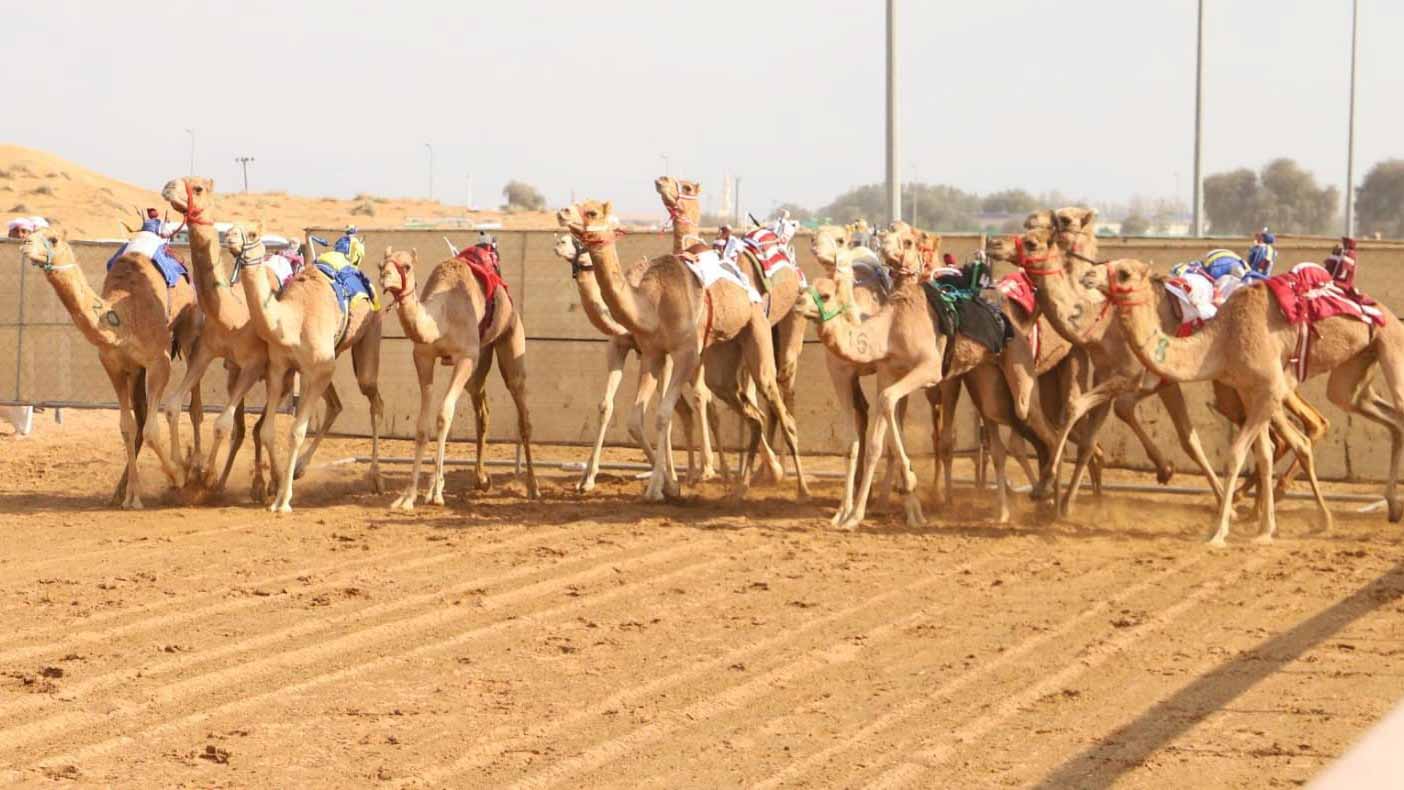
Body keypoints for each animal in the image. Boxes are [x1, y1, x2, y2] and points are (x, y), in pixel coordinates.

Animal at [18, 224, 200, 507]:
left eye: (53, 239)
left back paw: (199, 472)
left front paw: (178, 476)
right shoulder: (115, 366)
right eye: (32, 233)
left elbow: (152, 429)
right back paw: (123, 490)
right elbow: (127, 427)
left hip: (189, 329)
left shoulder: (159, 361)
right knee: (142, 417)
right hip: (137, 371)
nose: (25, 244)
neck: (122, 317)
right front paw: (132, 498)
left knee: (194, 404)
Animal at [226, 223, 390, 516]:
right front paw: (278, 486)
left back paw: (376, 477)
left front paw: (283, 501)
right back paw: (300, 469)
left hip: (369, 333)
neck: (291, 320)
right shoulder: (280, 368)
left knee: (374, 399)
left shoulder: (317, 370)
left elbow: (297, 431)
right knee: (336, 405)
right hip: (326, 360)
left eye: (253, 233)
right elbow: (267, 429)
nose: (229, 236)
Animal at [379, 245, 536, 513]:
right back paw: (482, 479)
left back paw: (533, 487)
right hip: (481, 355)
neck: (441, 319)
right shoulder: (423, 357)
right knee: (482, 410)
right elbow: (422, 426)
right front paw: (408, 496)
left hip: (510, 335)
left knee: (521, 406)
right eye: (382, 264)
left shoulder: (465, 357)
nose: (384, 277)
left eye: (407, 266)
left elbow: (444, 415)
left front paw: (436, 493)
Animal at [555, 200, 808, 505]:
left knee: (774, 403)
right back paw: (742, 486)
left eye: (592, 212)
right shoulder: (650, 352)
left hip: (760, 331)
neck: (651, 304)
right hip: (722, 358)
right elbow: (631, 416)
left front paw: (659, 487)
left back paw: (794, 485)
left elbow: (664, 413)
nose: (562, 216)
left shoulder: (684, 354)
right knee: (748, 410)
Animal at [1106, 259, 1404, 544]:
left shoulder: (1268, 391)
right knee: (1374, 413)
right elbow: (1264, 454)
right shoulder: (1248, 391)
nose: (1094, 275)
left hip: (1392, 349)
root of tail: (1389, 314)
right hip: (1355, 369)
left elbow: (1237, 453)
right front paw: (1263, 529)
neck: (1220, 341)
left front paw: (1219, 532)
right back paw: (1389, 507)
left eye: (1123, 273)